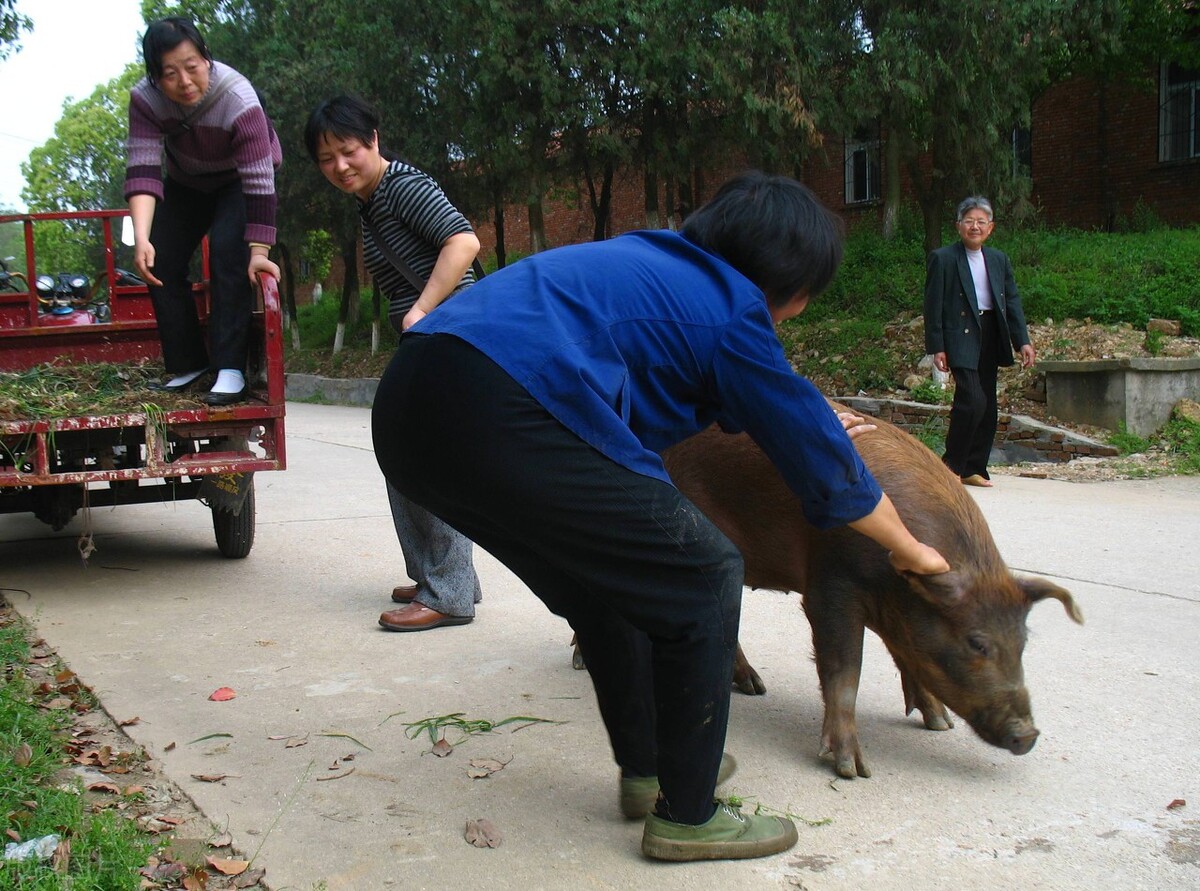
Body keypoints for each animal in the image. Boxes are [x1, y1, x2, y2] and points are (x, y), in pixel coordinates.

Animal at [662, 410, 1084, 782]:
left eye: (1023, 643)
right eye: (977, 643)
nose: (1028, 735)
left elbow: (904, 654)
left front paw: (940, 724)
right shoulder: (829, 585)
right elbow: (844, 670)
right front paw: (853, 770)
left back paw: (756, 688)